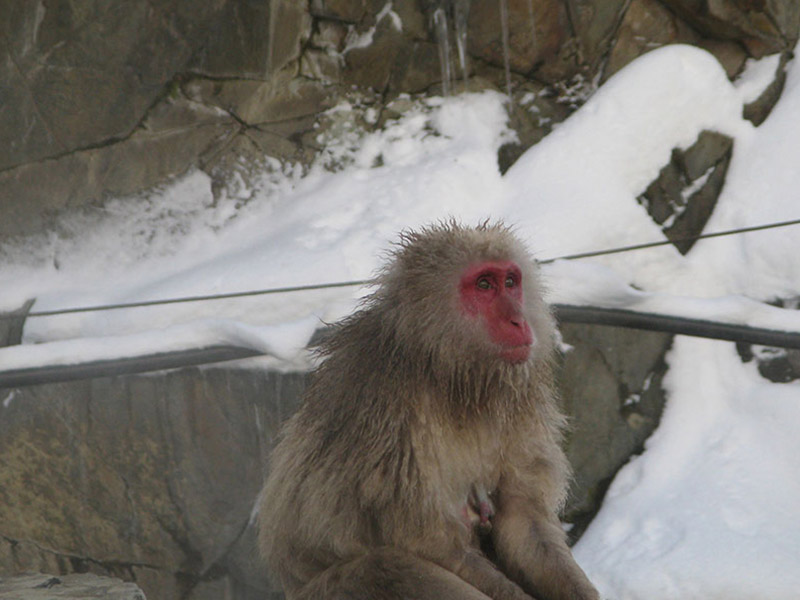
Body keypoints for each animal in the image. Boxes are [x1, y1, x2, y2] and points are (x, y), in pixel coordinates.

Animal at [260, 220, 596, 600]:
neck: (451, 376)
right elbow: (434, 543)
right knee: (385, 567)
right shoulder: (386, 413)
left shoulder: (519, 401)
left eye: (510, 281)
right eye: (484, 285)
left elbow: (524, 518)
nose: (518, 321)